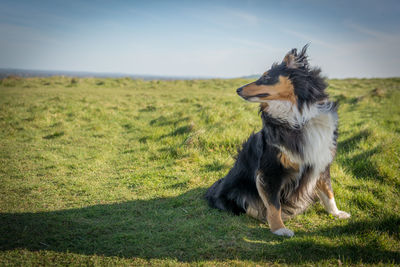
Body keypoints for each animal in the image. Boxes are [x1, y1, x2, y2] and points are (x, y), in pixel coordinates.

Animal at [206, 45, 350, 238]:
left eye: (267, 77)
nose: (238, 89)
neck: (298, 116)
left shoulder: (322, 162)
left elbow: (328, 192)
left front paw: (337, 213)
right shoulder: (270, 170)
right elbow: (274, 205)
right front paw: (279, 229)